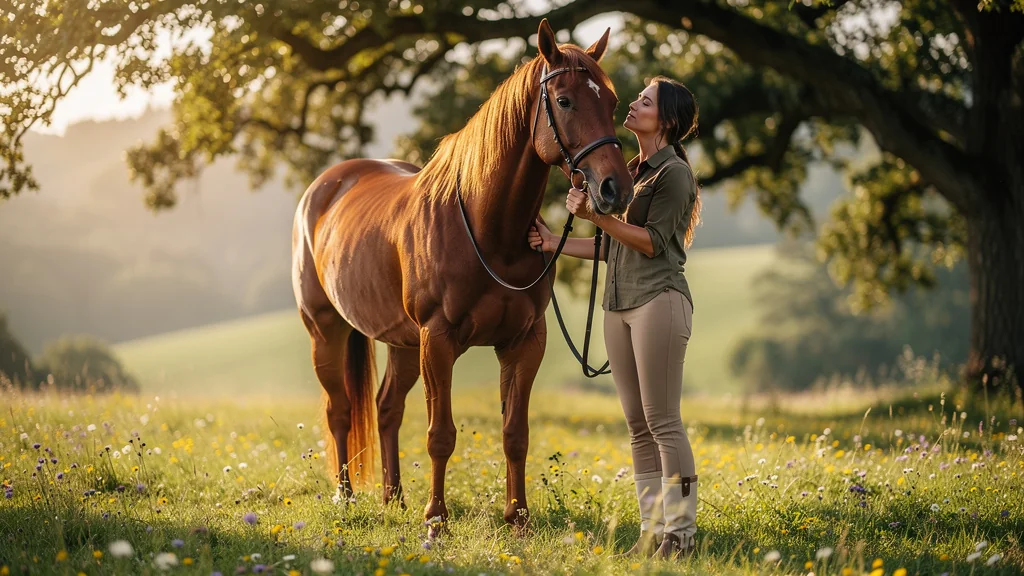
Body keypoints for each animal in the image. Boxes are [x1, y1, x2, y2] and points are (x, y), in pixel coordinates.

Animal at [291, 19, 633, 533]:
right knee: (340, 411)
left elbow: (515, 433)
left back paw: (394, 498)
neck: (489, 231)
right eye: (565, 101)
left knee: (387, 408)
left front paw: (518, 516)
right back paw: (346, 499)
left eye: (612, 103)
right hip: (326, 329)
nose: (615, 189)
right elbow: (441, 435)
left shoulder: (524, 341)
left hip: (401, 342)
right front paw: (437, 518)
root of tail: (325, 187)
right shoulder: (439, 339)